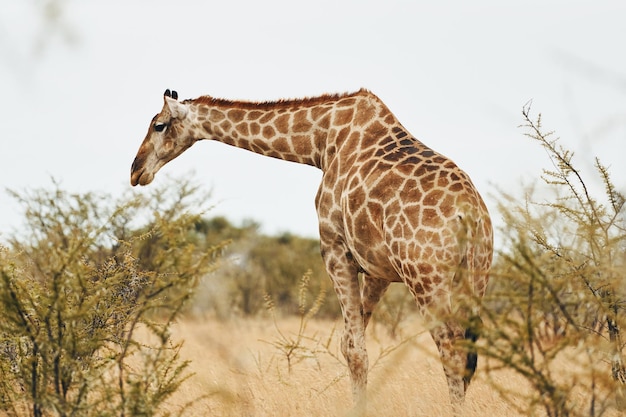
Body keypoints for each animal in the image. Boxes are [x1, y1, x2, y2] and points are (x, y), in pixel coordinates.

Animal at [130, 88, 492, 412]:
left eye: (159, 125)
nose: (136, 170)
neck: (319, 144)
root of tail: (471, 216)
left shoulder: (335, 249)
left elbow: (353, 350)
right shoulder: (378, 269)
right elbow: (353, 343)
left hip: (426, 279)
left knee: (450, 346)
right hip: (475, 276)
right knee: (468, 350)